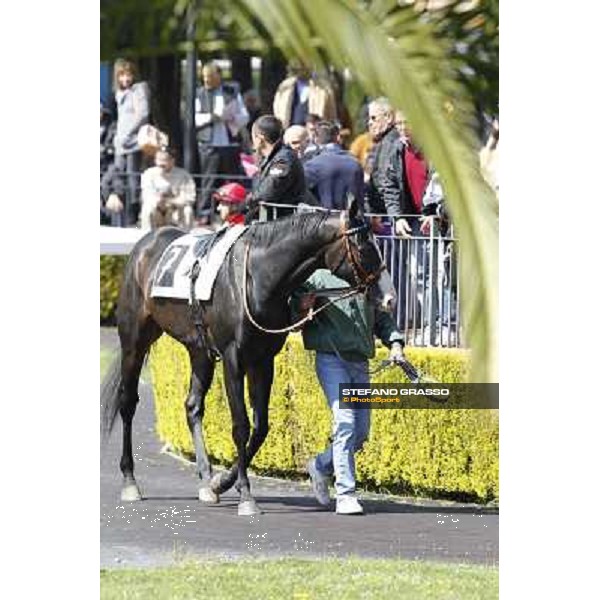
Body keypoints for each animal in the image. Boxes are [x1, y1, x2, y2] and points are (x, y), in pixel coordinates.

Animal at [102, 200, 394, 516]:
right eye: (365, 247)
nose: (390, 297)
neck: (259, 276)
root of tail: (146, 241)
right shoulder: (233, 359)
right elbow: (240, 425)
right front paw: (245, 496)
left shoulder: (263, 360)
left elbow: (261, 426)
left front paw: (221, 482)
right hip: (134, 340)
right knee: (128, 402)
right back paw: (130, 481)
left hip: (199, 349)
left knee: (192, 406)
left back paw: (206, 480)